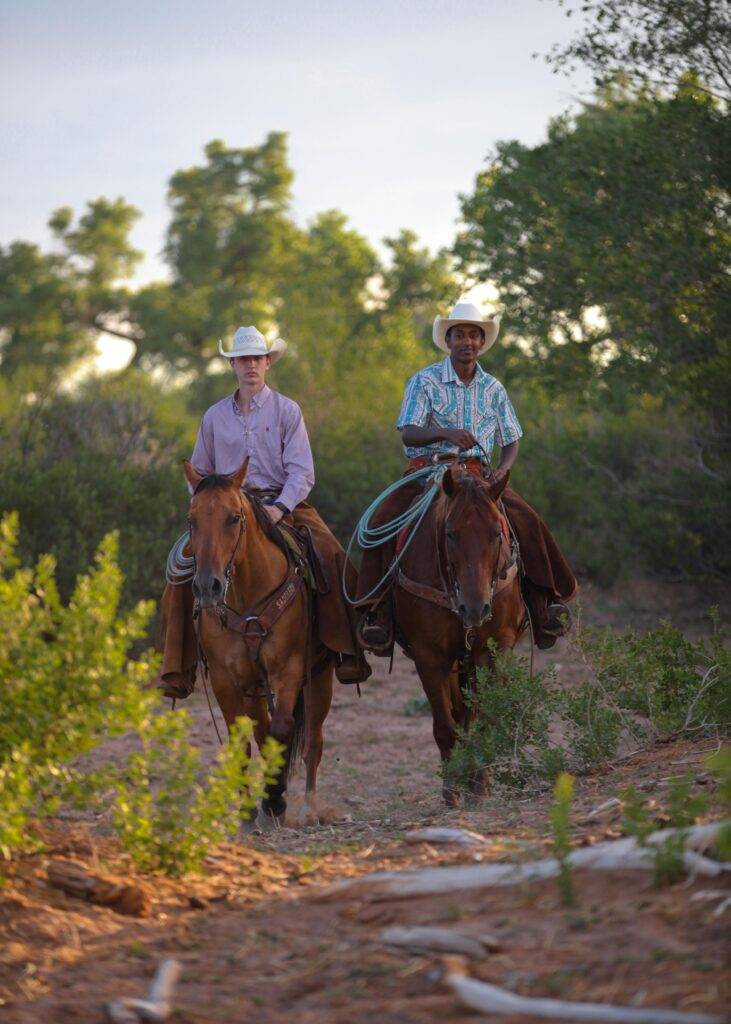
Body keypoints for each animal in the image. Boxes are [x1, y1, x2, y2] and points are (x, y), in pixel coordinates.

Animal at [182, 456, 333, 823]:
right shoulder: (226, 680)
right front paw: (250, 809)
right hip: (253, 688)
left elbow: (283, 729)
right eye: (192, 520)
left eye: (234, 517)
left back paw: (309, 806)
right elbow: (245, 744)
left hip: (320, 676)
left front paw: (276, 797)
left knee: (314, 739)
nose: (207, 586)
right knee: (263, 731)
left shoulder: (288, 670)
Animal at [393, 466, 524, 806]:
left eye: (496, 533)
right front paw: (452, 791)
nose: (475, 608)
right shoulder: (429, 656)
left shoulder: (493, 651)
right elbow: (445, 726)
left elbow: (484, 719)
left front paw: (480, 786)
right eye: (450, 533)